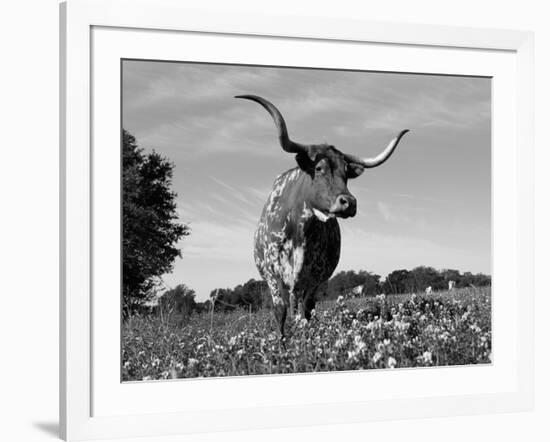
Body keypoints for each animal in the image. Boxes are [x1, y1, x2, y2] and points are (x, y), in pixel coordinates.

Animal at [237, 94, 410, 334]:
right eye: (318, 168)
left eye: (346, 172)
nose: (349, 202)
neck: (299, 229)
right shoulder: (273, 275)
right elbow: (280, 312)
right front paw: (282, 343)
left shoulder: (316, 277)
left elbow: (307, 310)